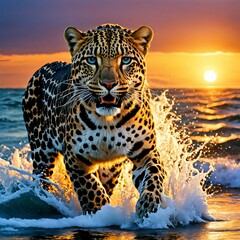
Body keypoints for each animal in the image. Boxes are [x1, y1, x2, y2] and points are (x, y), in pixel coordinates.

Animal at [22, 24, 167, 219]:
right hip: (42, 154)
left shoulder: (146, 152)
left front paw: (148, 206)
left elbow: (154, 176)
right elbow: (90, 187)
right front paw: (99, 212)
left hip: (111, 169)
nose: (108, 84)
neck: (109, 122)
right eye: (91, 60)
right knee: (42, 180)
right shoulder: (75, 158)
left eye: (126, 60)